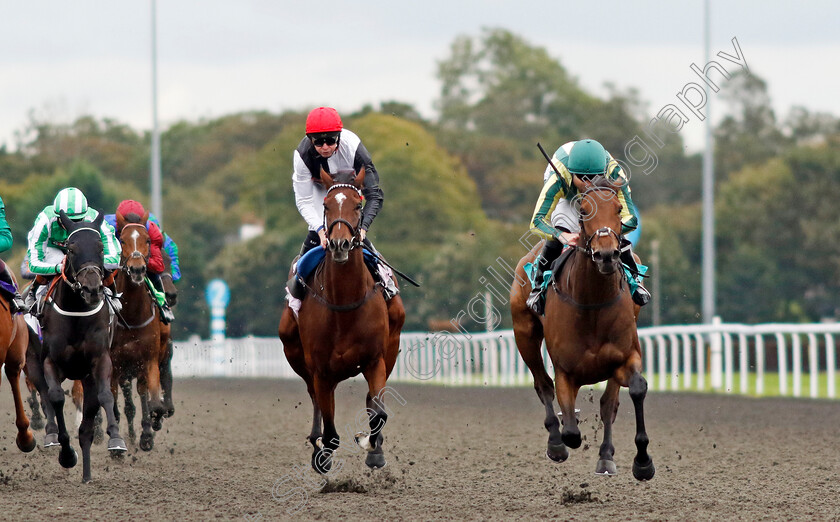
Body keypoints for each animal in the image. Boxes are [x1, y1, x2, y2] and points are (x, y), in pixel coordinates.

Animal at [27, 210, 126, 480]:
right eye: (70, 249)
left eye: (101, 247)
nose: (92, 289)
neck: (76, 313)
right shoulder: (51, 362)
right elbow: (56, 398)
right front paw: (66, 453)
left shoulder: (100, 361)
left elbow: (105, 396)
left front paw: (116, 439)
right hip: (32, 364)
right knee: (44, 395)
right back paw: (52, 435)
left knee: (86, 427)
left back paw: (87, 476)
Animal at [278, 167, 406, 472]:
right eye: (326, 205)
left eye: (358, 205)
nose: (338, 244)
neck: (344, 306)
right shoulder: (321, 370)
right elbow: (331, 433)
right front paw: (322, 453)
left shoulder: (374, 360)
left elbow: (378, 413)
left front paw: (371, 446)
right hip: (295, 351)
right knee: (314, 398)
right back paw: (316, 441)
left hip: (391, 349)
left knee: (372, 402)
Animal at [508, 175, 652, 480]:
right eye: (584, 210)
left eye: (618, 210)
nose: (606, 254)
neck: (592, 305)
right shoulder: (565, 371)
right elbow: (571, 431)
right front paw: (562, 435)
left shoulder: (625, 357)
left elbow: (633, 390)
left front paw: (643, 462)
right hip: (524, 334)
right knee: (543, 385)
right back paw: (555, 442)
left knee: (608, 404)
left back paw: (605, 457)